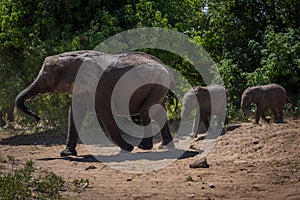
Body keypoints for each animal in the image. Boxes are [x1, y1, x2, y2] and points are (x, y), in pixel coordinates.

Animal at [15, 50, 176, 156]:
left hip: (157, 83)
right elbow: (74, 113)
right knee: (158, 112)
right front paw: (66, 153)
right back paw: (164, 147)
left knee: (146, 111)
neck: (73, 59)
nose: (37, 118)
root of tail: (165, 66)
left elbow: (104, 112)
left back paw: (143, 147)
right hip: (159, 85)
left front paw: (127, 148)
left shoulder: (99, 88)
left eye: (46, 78)